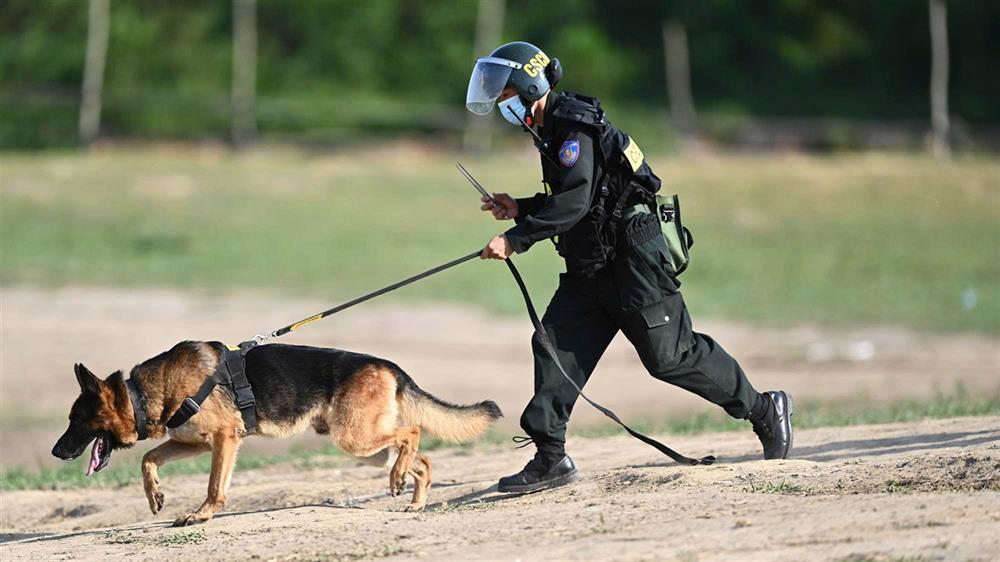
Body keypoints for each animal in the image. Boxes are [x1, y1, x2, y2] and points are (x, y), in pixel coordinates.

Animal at [48, 336, 500, 524]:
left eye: (76, 421)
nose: (55, 452)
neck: (143, 394)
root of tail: (387, 364)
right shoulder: (194, 443)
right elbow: (148, 457)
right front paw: (156, 496)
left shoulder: (224, 440)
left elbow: (214, 486)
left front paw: (201, 515)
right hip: (365, 446)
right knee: (422, 459)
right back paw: (413, 498)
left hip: (355, 439)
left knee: (413, 435)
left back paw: (399, 481)